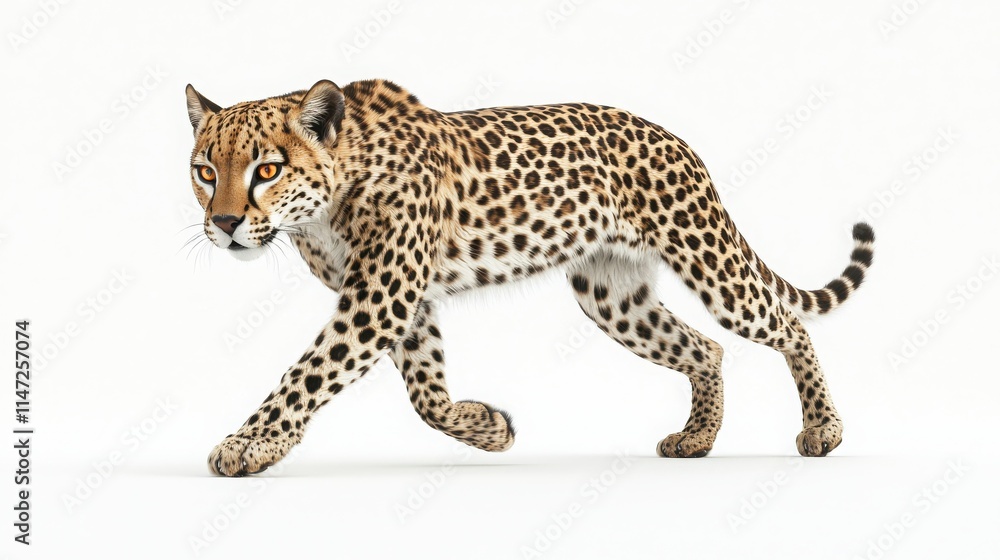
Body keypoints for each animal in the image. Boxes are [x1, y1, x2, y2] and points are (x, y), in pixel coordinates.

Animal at [183, 79, 874, 476]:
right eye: (204, 171)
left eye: (267, 170)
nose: (224, 223)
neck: (323, 208)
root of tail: (677, 141)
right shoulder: (404, 300)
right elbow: (426, 396)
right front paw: (491, 429)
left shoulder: (382, 296)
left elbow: (306, 375)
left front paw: (248, 445)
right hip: (613, 297)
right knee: (705, 347)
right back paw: (698, 437)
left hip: (709, 261)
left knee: (785, 322)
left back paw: (823, 427)